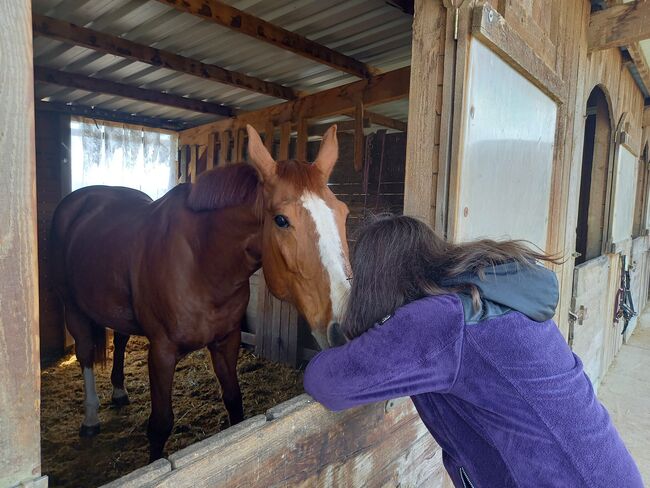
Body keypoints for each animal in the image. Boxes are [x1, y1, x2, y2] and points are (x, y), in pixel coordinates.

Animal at [49, 124, 350, 460]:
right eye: (282, 220)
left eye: (344, 213)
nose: (342, 326)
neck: (202, 263)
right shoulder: (162, 352)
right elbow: (160, 424)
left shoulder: (226, 340)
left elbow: (234, 401)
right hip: (72, 308)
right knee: (85, 352)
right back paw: (90, 417)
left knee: (121, 339)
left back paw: (118, 391)